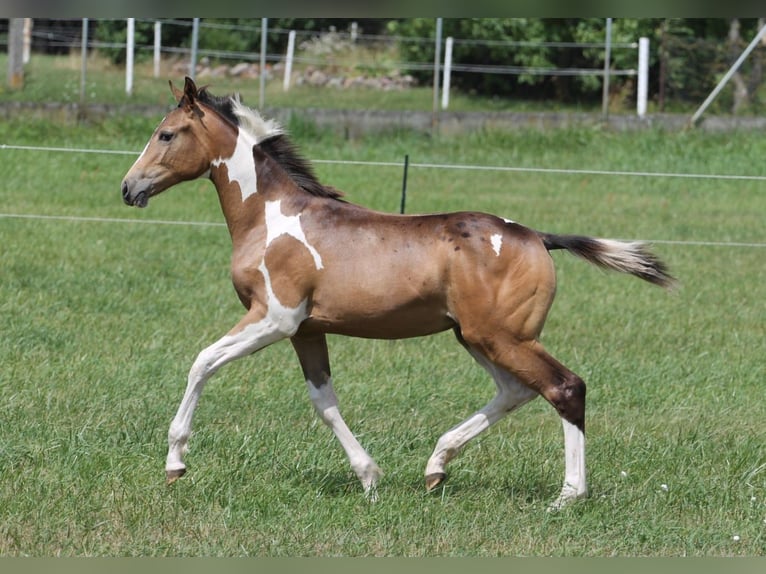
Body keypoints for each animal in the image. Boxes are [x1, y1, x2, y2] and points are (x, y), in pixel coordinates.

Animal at [121, 77, 673, 511]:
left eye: (166, 133)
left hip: (503, 338)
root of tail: (536, 236)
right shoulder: (305, 329)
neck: (271, 216)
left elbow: (202, 362)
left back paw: (567, 496)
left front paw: (175, 462)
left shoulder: (274, 317)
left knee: (565, 388)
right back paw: (436, 465)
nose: (129, 188)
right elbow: (323, 400)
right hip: (477, 336)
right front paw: (369, 477)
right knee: (515, 391)